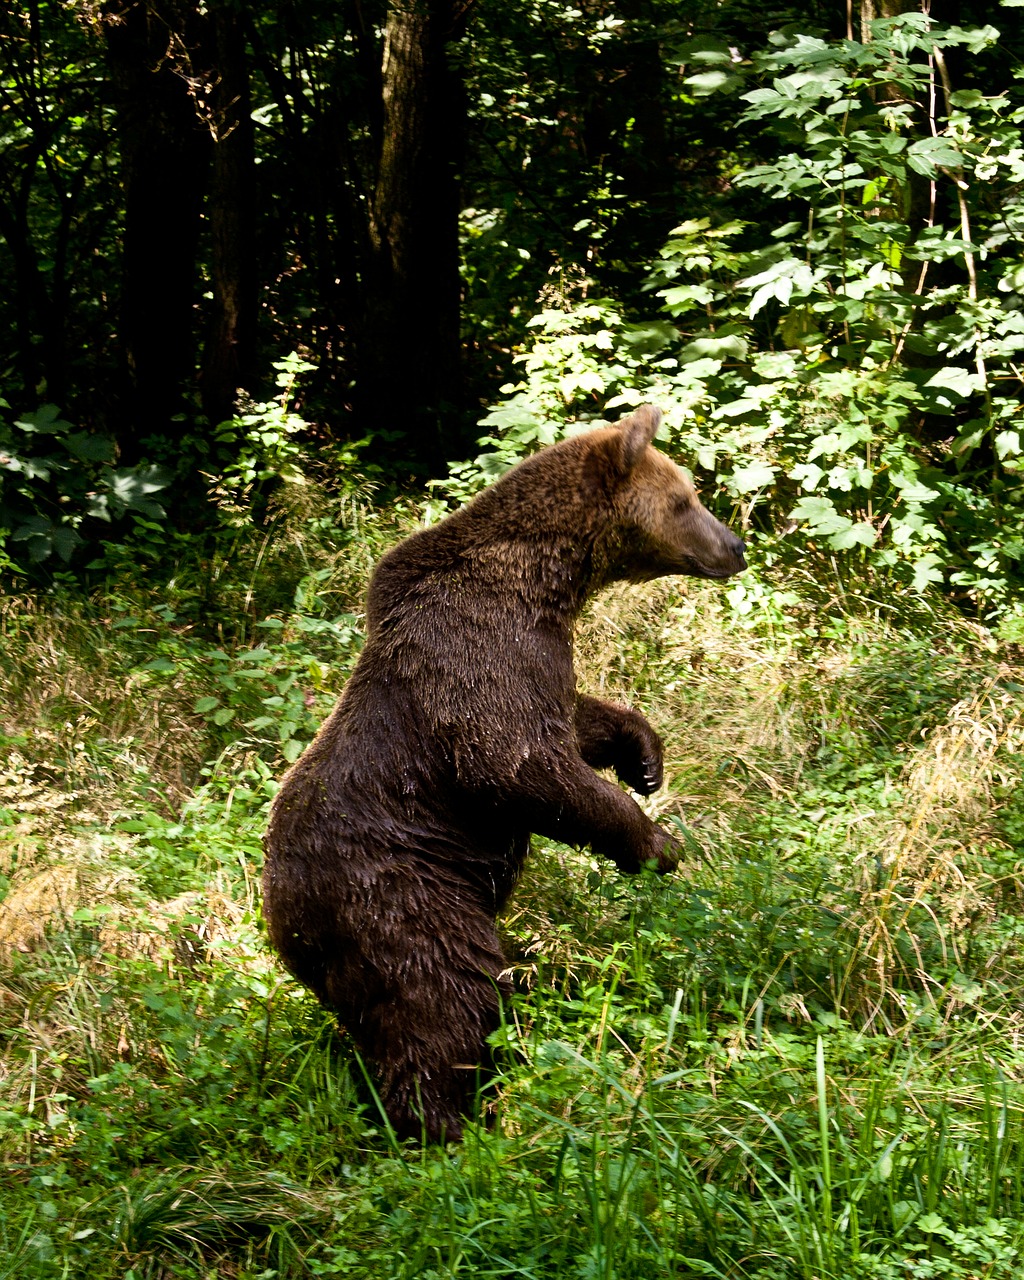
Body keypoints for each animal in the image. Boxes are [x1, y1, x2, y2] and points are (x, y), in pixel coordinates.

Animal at [263, 407, 742, 1141]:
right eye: (686, 499)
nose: (736, 545)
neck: (547, 585)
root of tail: (282, 920)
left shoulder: (537, 656)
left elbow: (572, 719)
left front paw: (644, 758)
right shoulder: (476, 653)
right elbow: (518, 765)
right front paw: (656, 844)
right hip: (399, 895)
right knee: (447, 1002)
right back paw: (450, 1128)